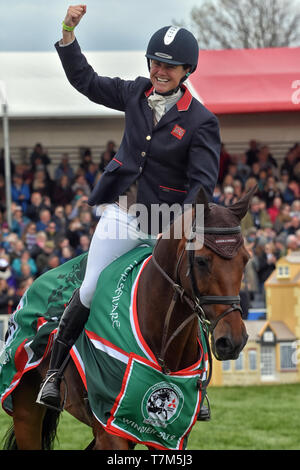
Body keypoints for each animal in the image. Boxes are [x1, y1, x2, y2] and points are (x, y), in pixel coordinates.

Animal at [2, 186, 253, 448]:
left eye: (245, 259)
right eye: (202, 260)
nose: (232, 341)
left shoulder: (168, 433)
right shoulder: (110, 430)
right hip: (26, 410)